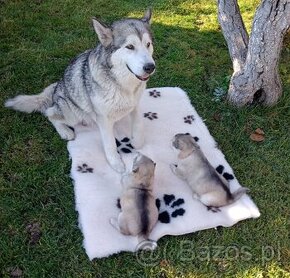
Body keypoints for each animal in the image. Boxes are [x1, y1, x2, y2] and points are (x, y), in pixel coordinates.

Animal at [4, 9, 155, 173]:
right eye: (130, 47)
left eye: (148, 44)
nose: (150, 67)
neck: (124, 85)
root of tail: (56, 88)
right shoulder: (104, 119)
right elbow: (110, 144)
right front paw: (116, 163)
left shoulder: (135, 104)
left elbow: (138, 125)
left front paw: (136, 141)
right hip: (71, 113)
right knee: (49, 113)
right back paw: (65, 131)